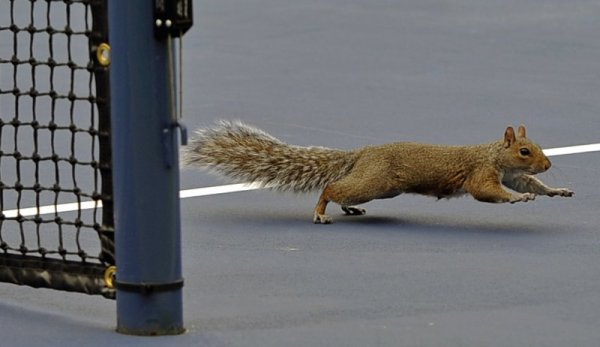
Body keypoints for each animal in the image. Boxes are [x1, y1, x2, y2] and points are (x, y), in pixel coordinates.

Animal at [180, 121, 576, 224]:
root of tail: (361, 154)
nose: (548, 164)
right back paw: (321, 213)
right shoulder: (482, 174)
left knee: (342, 189)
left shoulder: (511, 174)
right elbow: (489, 192)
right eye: (524, 151)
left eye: (537, 147)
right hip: (373, 182)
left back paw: (348, 210)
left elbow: (529, 183)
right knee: (331, 187)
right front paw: (519, 199)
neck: (494, 154)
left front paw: (556, 191)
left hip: (379, 188)